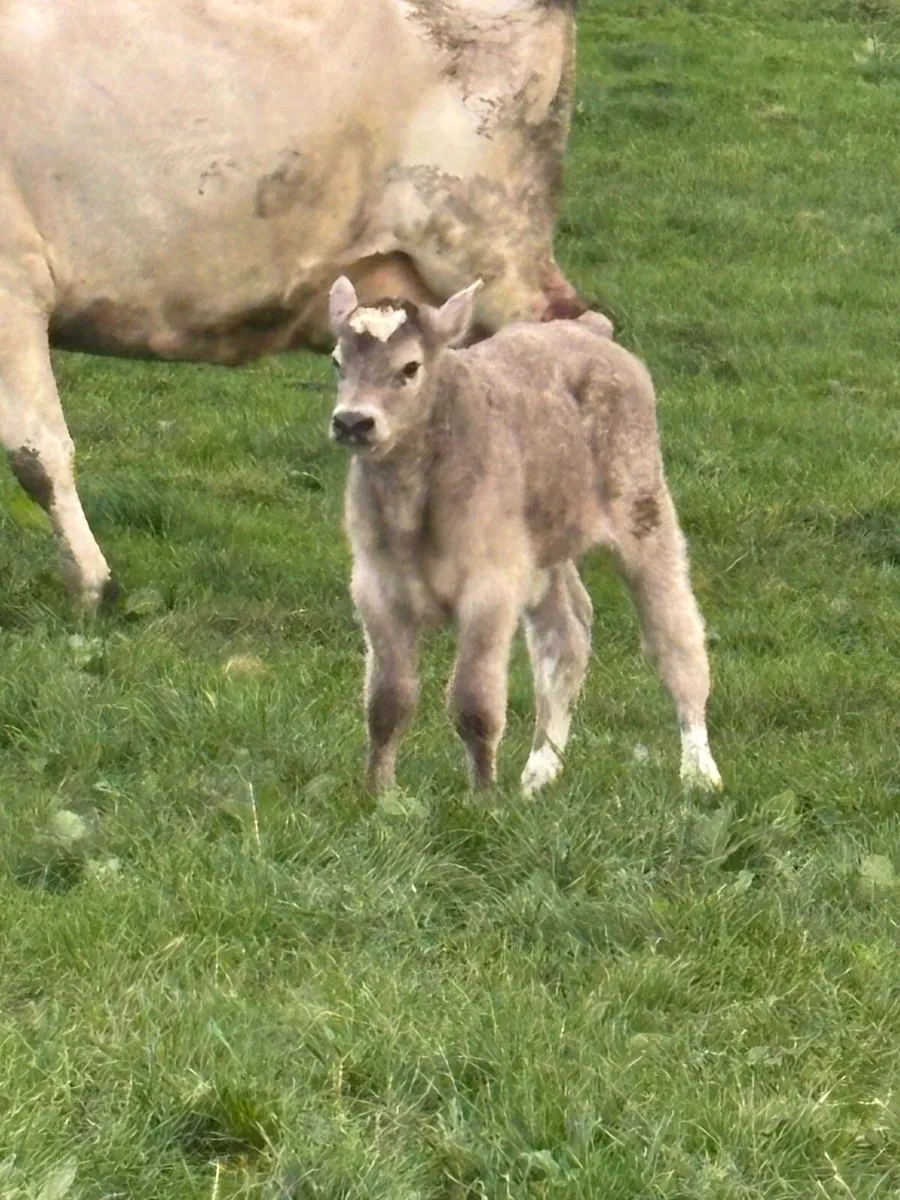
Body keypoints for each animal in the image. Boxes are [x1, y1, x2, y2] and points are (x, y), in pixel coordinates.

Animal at [327, 275, 723, 796]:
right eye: (337, 361)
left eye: (410, 367)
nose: (353, 421)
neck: (412, 501)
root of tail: (586, 329)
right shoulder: (376, 588)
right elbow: (387, 702)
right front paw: (378, 793)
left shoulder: (490, 588)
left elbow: (473, 701)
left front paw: (482, 797)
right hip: (542, 552)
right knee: (566, 634)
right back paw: (539, 773)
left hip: (645, 509)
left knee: (676, 639)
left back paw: (699, 769)